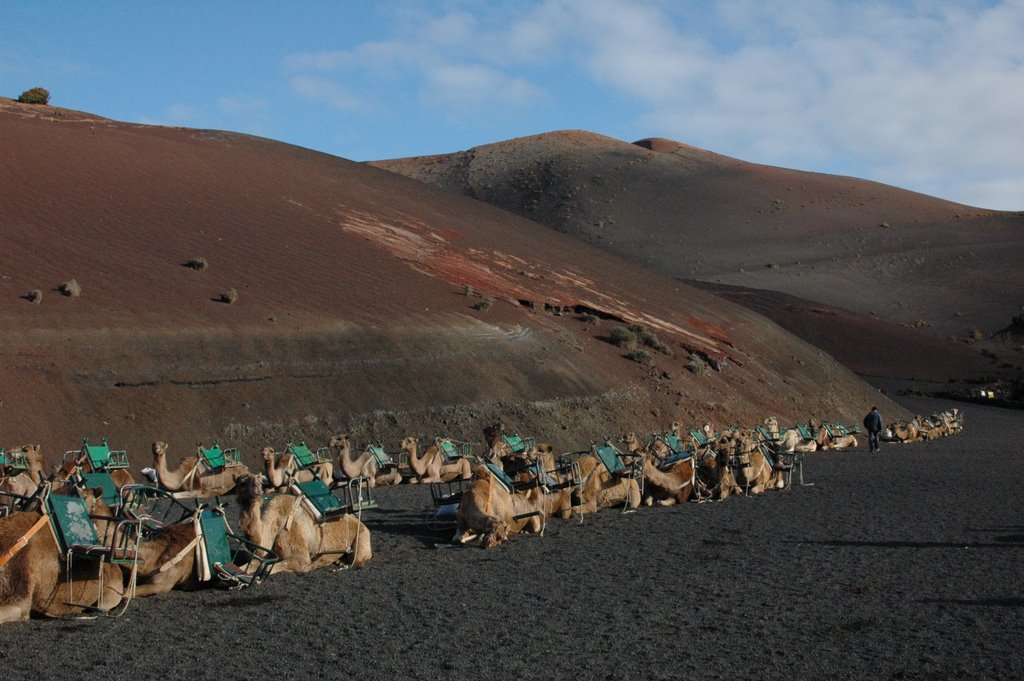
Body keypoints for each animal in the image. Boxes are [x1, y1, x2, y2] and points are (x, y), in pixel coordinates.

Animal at [234, 471, 370, 569]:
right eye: (241, 483)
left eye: (259, 483)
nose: (255, 493)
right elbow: (247, 567)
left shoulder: (300, 557)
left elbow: (268, 568)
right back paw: (340, 562)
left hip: (362, 538)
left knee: (358, 560)